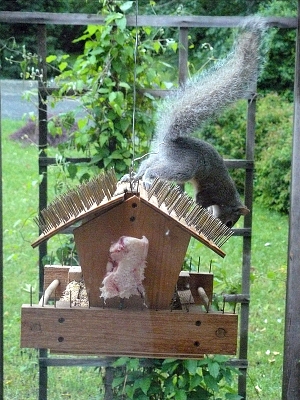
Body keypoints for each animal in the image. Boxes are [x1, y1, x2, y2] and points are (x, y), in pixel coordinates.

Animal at [122, 17, 268, 228]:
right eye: (230, 222)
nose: (225, 226)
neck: (227, 198)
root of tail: (169, 141)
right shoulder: (210, 193)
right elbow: (200, 202)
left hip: (161, 156)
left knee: (146, 165)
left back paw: (133, 176)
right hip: (183, 167)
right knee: (155, 170)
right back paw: (148, 178)